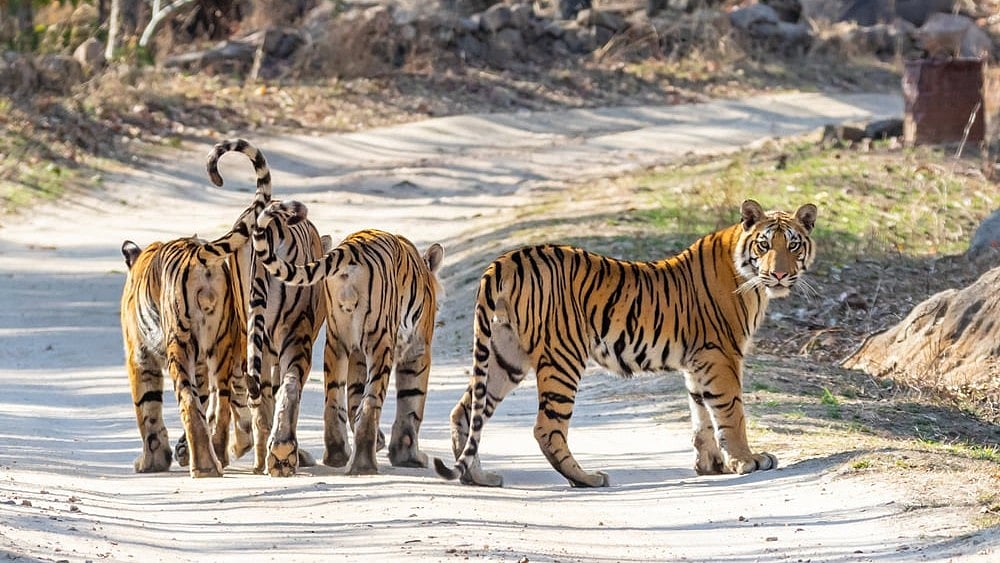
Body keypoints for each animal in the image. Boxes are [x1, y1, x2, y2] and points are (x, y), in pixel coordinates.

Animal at [120, 206, 256, 478]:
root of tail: (199, 255)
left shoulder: (138, 357)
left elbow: (147, 410)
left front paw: (151, 462)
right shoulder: (201, 364)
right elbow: (203, 400)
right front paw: (180, 451)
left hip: (178, 344)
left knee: (188, 402)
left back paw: (204, 466)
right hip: (220, 344)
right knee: (221, 404)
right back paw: (217, 455)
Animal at [206, 139, 328, 477]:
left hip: (259, 331)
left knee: (258, 394)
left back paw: (267, 455)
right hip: (295, 333)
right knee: (288, 387)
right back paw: (280, 454)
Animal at [253, 200, 445, 475]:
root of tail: (351, 250)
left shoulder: (356, 352)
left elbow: (354, 396)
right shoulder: (417, 349)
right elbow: (411, 403)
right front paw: (409, 457)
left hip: (336, 341)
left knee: (332, 401)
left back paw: (336, 455)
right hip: (380, 342)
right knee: (370, 403)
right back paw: (363, 464)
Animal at [434, 199, 817, 487]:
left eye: (793, 244)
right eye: (764, 245)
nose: (779, 274)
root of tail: (507, 259)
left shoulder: (698, 363)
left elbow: (701, 414)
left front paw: (712, 465)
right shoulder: (721, 355)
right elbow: (731, 412)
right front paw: (747, 460)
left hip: (505, 354)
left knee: (466, 411)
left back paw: (478, 477)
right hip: (563, 357)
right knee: (547, 428)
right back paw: (587, 478)